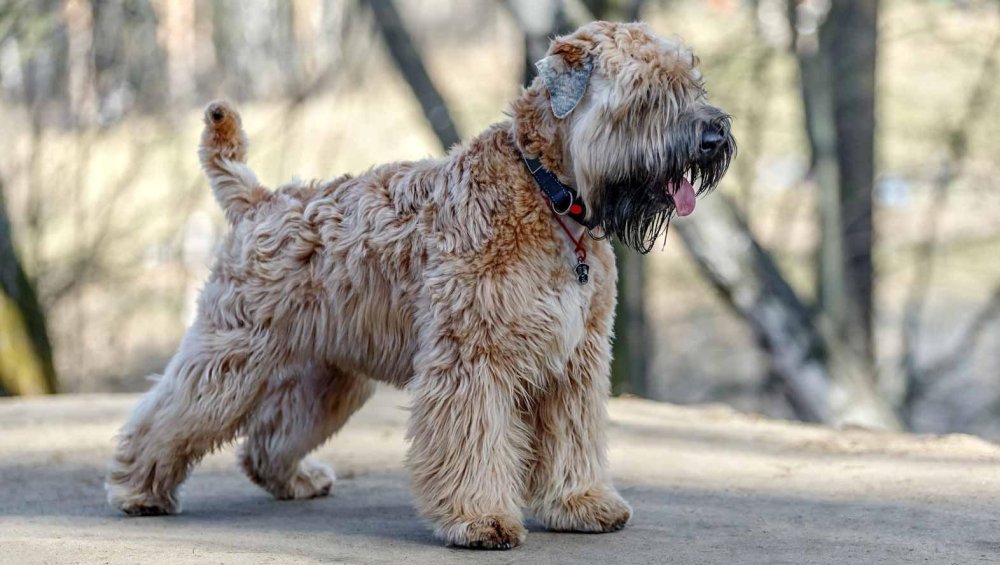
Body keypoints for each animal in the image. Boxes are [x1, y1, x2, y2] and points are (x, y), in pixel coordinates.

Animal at [107, 20, 736, 548]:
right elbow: (473, 442)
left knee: (269, 437)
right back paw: (137, 489)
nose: (715, 135)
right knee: (169, 415)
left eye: (691, 82)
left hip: (328, 376)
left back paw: (296, 479)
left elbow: (572, 439)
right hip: (231, 355)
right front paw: (479, 519)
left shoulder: (574, 363)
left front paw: (580, 502)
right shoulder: (473, 358)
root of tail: (259, 200)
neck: (549, 196)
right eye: (648, 93)